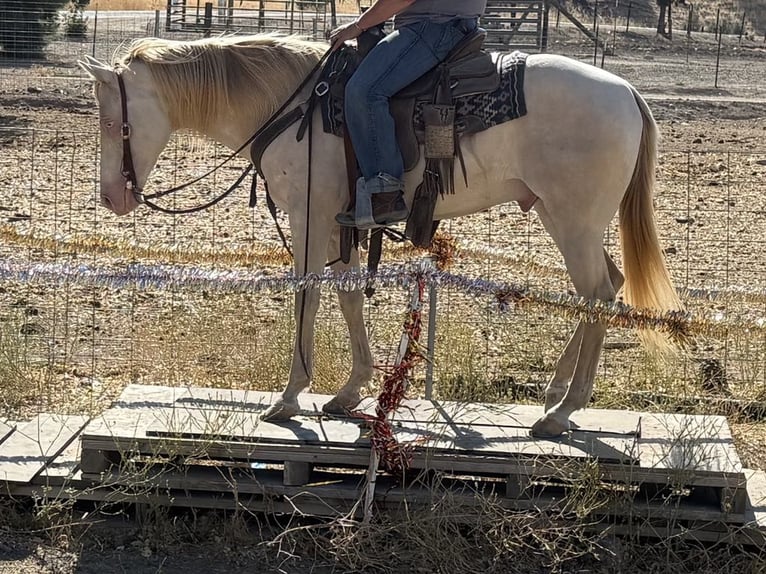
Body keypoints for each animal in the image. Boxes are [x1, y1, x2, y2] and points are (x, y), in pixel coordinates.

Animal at [78, 34, 681, 438]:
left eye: (111, 122)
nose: (110, 198)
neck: (291, 105)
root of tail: (627, 91)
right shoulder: (338, 223)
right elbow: (347, 295)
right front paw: (349, 392)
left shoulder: (309, 214)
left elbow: (308, 293)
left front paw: (290, 396)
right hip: (565, 217)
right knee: (605, 286)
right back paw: (556, 395)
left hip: (573, 219)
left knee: (597, 295)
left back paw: (563, 411)